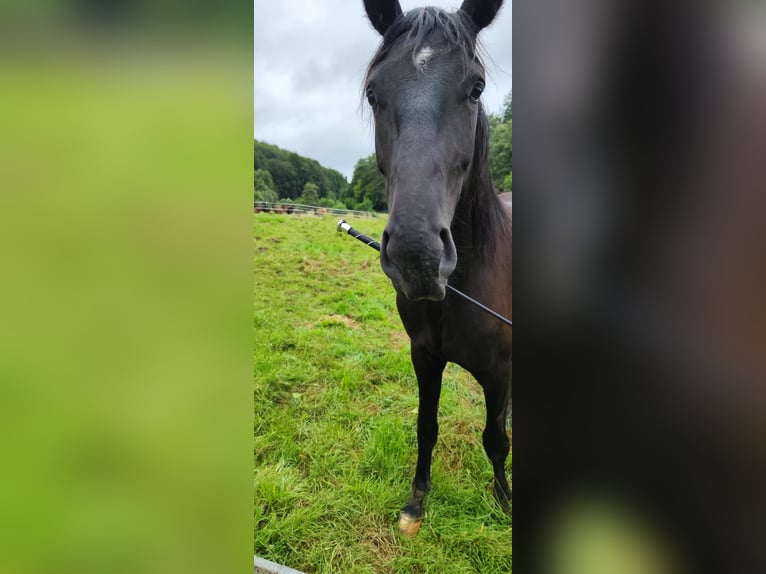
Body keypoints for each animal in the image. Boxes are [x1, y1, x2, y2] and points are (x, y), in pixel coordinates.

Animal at [364, 0, 512, 536]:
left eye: (477, 87)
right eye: (373, 91)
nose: (418, 256)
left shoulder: (500, 372)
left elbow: (496, 440)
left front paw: (505, 500)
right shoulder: (424, 356)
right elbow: (425, 426)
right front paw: (416, 502)